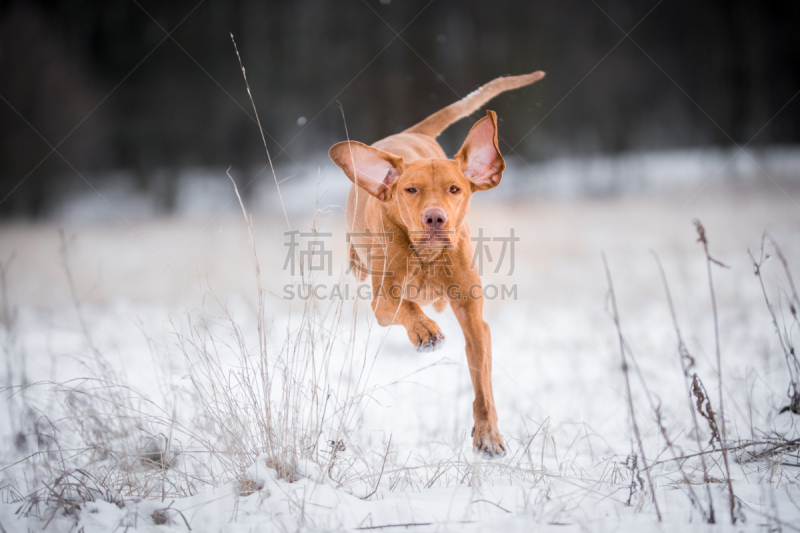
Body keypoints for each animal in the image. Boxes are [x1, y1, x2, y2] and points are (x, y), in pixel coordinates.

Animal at [330, 70, 544, 458]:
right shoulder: (381, 302)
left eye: (454, 189)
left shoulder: (475, 320)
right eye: (411, 190)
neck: (426, 258)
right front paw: (425, 330)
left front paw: (488, 434)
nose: (435, 218)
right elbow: (404, 305)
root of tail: (412, 132)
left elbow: (482, 384)